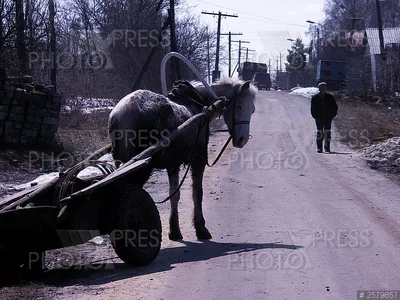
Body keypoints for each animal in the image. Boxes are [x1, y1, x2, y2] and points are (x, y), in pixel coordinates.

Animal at [108, 78, 256, 240]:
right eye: (241, 106)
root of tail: (124, 111)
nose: (242, 140)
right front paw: (201, 229)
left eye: (253, 110)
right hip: (141, 169)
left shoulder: (173, 164)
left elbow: (174, 194)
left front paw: (174, 230)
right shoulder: (198, 160)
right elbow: (197, 193)